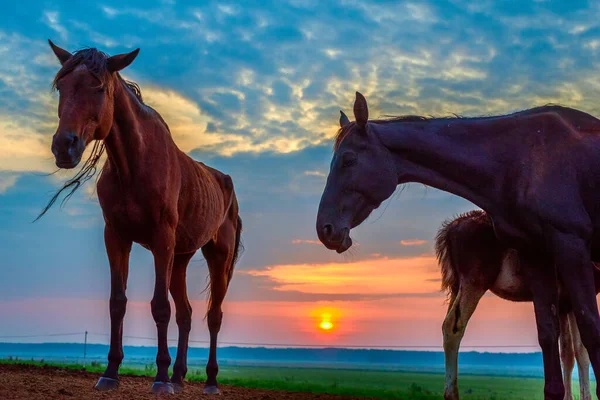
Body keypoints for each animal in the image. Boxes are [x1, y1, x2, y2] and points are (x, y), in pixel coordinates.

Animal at [44, 40, 243, 394]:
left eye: (98, 88)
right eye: (61, 87)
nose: (64, 147)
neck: (134, 164)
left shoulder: (161, 240)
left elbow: (159, 306)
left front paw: (160, 378)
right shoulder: (116, 237)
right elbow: (118, 302)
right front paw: (110, 372)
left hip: (217, 256)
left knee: (213, 316)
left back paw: (208, 380)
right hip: (181, 257)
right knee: (186, 314)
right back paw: (179, 376)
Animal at [434, 211, 596, 398]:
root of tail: (450, 230)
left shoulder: (564, 304)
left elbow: (568, 352)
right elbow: (581, 351)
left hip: (457, 285)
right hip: (474, 282)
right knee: (453, 326)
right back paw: (452, 393)